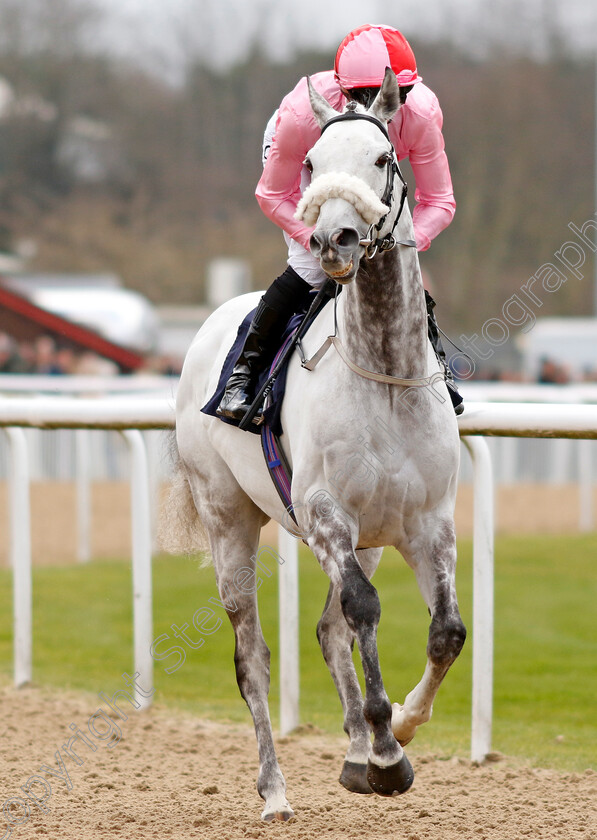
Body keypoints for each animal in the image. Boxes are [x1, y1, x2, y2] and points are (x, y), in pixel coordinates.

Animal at [166, 70, 466, 820]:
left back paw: (355, 751)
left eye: (384, 159)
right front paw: (387, 753)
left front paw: (399, 730)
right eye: (308, 164)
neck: (383, 375)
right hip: (229, 519)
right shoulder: (328, 515)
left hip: (370, 536)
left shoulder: (427, 524)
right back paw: (276, 789)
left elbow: (445, 631)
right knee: (253, 658)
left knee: (330, 633)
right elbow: (363, 609)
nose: (334, 238)